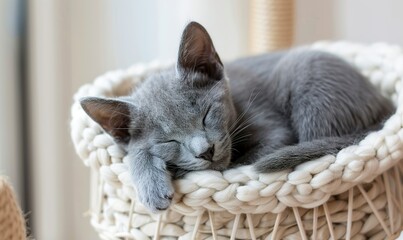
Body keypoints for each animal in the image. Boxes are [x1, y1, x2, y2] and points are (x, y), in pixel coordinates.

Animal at [81, 21, 394, 211]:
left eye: (207, 115)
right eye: (169, 141)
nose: (205, 151)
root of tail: (384, 103)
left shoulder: (274, 130)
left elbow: (239, 163)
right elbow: (136, 151)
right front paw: (151, 180)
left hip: (307, 79)